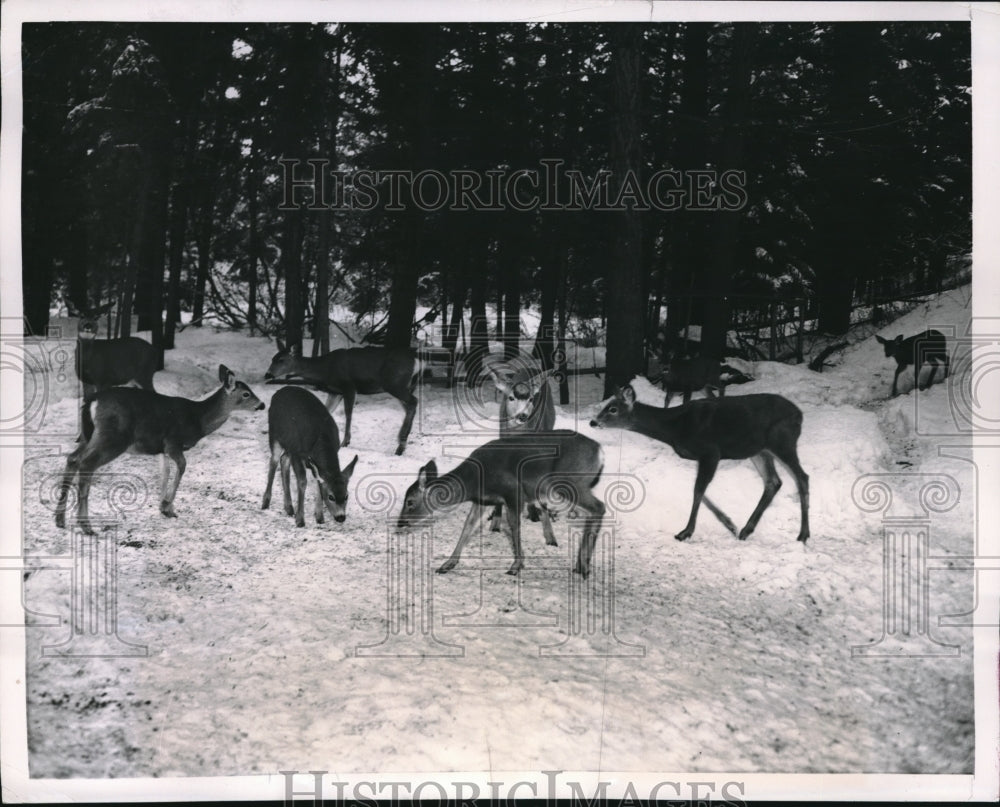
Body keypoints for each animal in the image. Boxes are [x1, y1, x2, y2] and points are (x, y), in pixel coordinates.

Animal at [53, 362, 266, 532]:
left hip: (88, 436)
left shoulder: (161, 449)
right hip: (113, 437)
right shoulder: (173, 442)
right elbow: (182, 467)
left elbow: (165, 472)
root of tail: (92, 402)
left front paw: (164, 507)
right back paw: (86, 526)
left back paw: (60, 519)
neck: (198, 419)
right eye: (246, 394)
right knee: (87, 464)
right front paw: (167, 505)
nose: (262, 405)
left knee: (72, 459)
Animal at [262, 386, 360, 528]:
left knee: (283, 460)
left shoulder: (313, 462)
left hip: (288, 444)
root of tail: (279, 391)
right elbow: (303, 482)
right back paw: (266, 502)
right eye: (331, 497)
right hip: (275, 435)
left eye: (346, 495)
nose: (341, 517)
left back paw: (289, 507)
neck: (321, 439)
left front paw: (319, 517)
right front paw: (300, 520)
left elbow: (318, 482)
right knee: (273, 462)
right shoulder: (298, 453)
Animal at [264, 340, 420, 454]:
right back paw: (402, 442)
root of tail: (417, 360)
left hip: (394, 383)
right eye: (272, 358)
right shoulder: (335, 392)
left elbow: (348, 413)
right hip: (403, 385)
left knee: (414, 401)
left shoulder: (348, 386)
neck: (324, 369)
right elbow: (326, 412)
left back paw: (401, 444)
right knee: (410, 406)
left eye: (281, 360)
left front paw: (345, 442)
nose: (267, 374)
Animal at [396, 432, 600, 576]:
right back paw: (582, 565)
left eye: (410, 502)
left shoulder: (513, 492)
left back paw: (582, 565)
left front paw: (516, 565)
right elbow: (468, 526)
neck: (473, 481)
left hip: (570, 481)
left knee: (598, 507)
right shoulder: (482, 501)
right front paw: (447, 564)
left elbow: (514, 526)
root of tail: (599, 450)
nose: (400, 523)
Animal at [588, 388, 808, 548]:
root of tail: (799, 414)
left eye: (613, 409)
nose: (592, 421)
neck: (674, 428)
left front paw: (685, 532)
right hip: (760, 450)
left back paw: (803, 535)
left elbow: (698, 490)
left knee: (802, 477)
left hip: (783, 441)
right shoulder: (701, 457)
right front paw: (729, 524)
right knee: (773, 481)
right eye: (606, 406)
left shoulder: (711, 451)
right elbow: (700, 490)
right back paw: (746, 530)